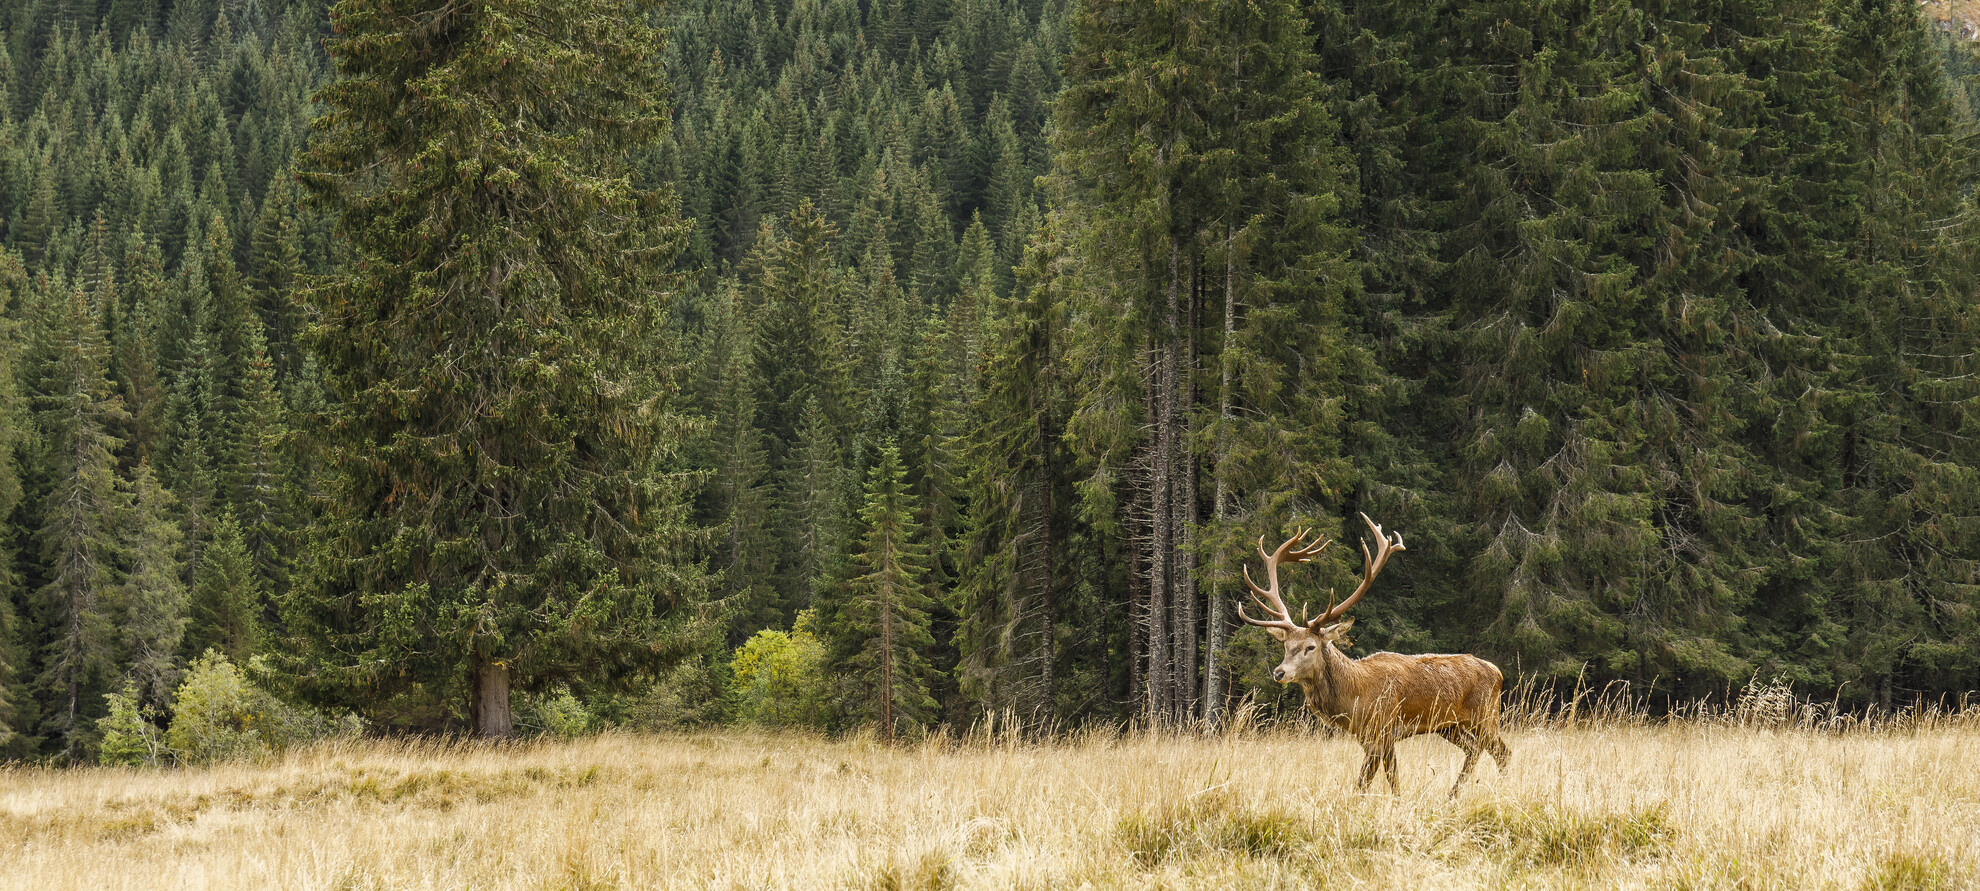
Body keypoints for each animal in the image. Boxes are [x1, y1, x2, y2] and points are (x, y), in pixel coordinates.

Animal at [1240, 514, 1510, 796]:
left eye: (1310, 646)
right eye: (1285, 645)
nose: (1279, 672)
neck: (1356, 696)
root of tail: (1497, 672)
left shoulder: (1383, 728)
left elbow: (1372, 780)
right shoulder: (1368, 736)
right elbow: (1385, 779)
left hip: (1486, 715)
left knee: (1502, 751)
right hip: (1451, 726)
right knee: (1475, 749)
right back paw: (1452, 795)